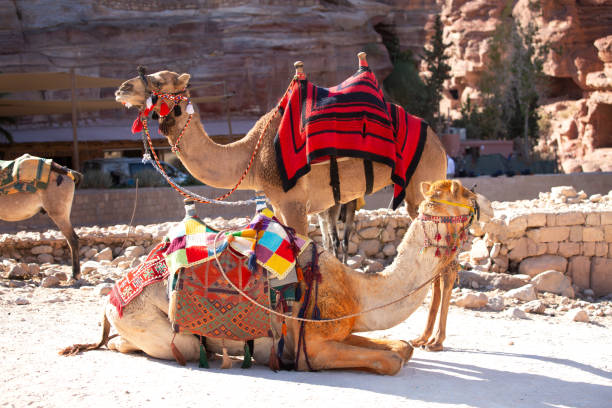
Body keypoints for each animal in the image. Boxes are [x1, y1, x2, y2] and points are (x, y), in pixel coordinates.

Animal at [62, 180, 492, 374]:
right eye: (464, 195)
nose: (487, 205)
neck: (358, 291)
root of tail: (110, 299)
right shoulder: (313, 348)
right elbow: (390, 361)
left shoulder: (340, 328)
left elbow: (401, 347)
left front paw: (415, 344)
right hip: (153, 325)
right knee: (162, 345)